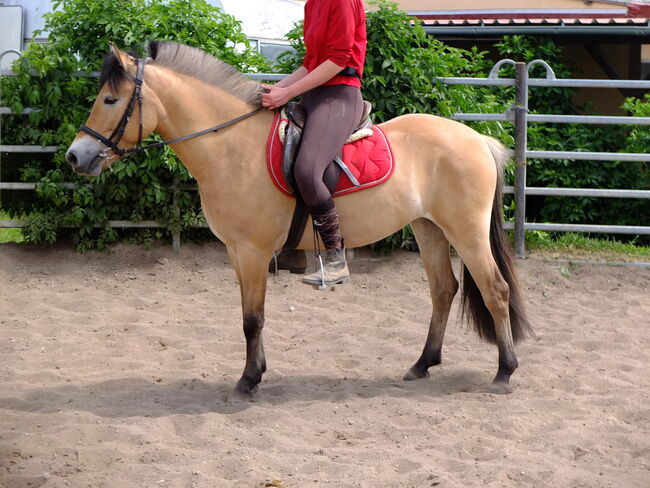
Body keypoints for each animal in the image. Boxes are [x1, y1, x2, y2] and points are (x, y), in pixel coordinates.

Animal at [66, 42, 528, 400]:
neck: (231, 144)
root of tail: (478, 139)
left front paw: (248, 381)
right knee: (443, 290)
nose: (74, 157)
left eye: (109, 100)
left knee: (496, 289)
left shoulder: (253, 252)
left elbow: (253, 318)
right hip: (428, 228)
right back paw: (423, 364)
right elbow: (249, 316)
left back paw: (505, 371)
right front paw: (256, 373)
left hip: (465, 232)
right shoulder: (238, 253)